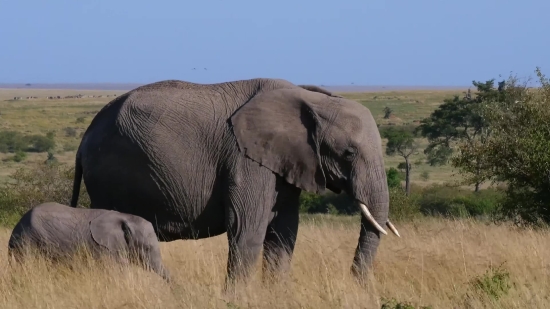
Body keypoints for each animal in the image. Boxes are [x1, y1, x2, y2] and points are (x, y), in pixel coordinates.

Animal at [71, 77, 404, 284]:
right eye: (349, 153)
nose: (356, 283)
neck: (307, 98)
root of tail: (85, 137)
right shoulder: (244, 159)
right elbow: (247, 231)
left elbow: (284, 235)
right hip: (108, 177)